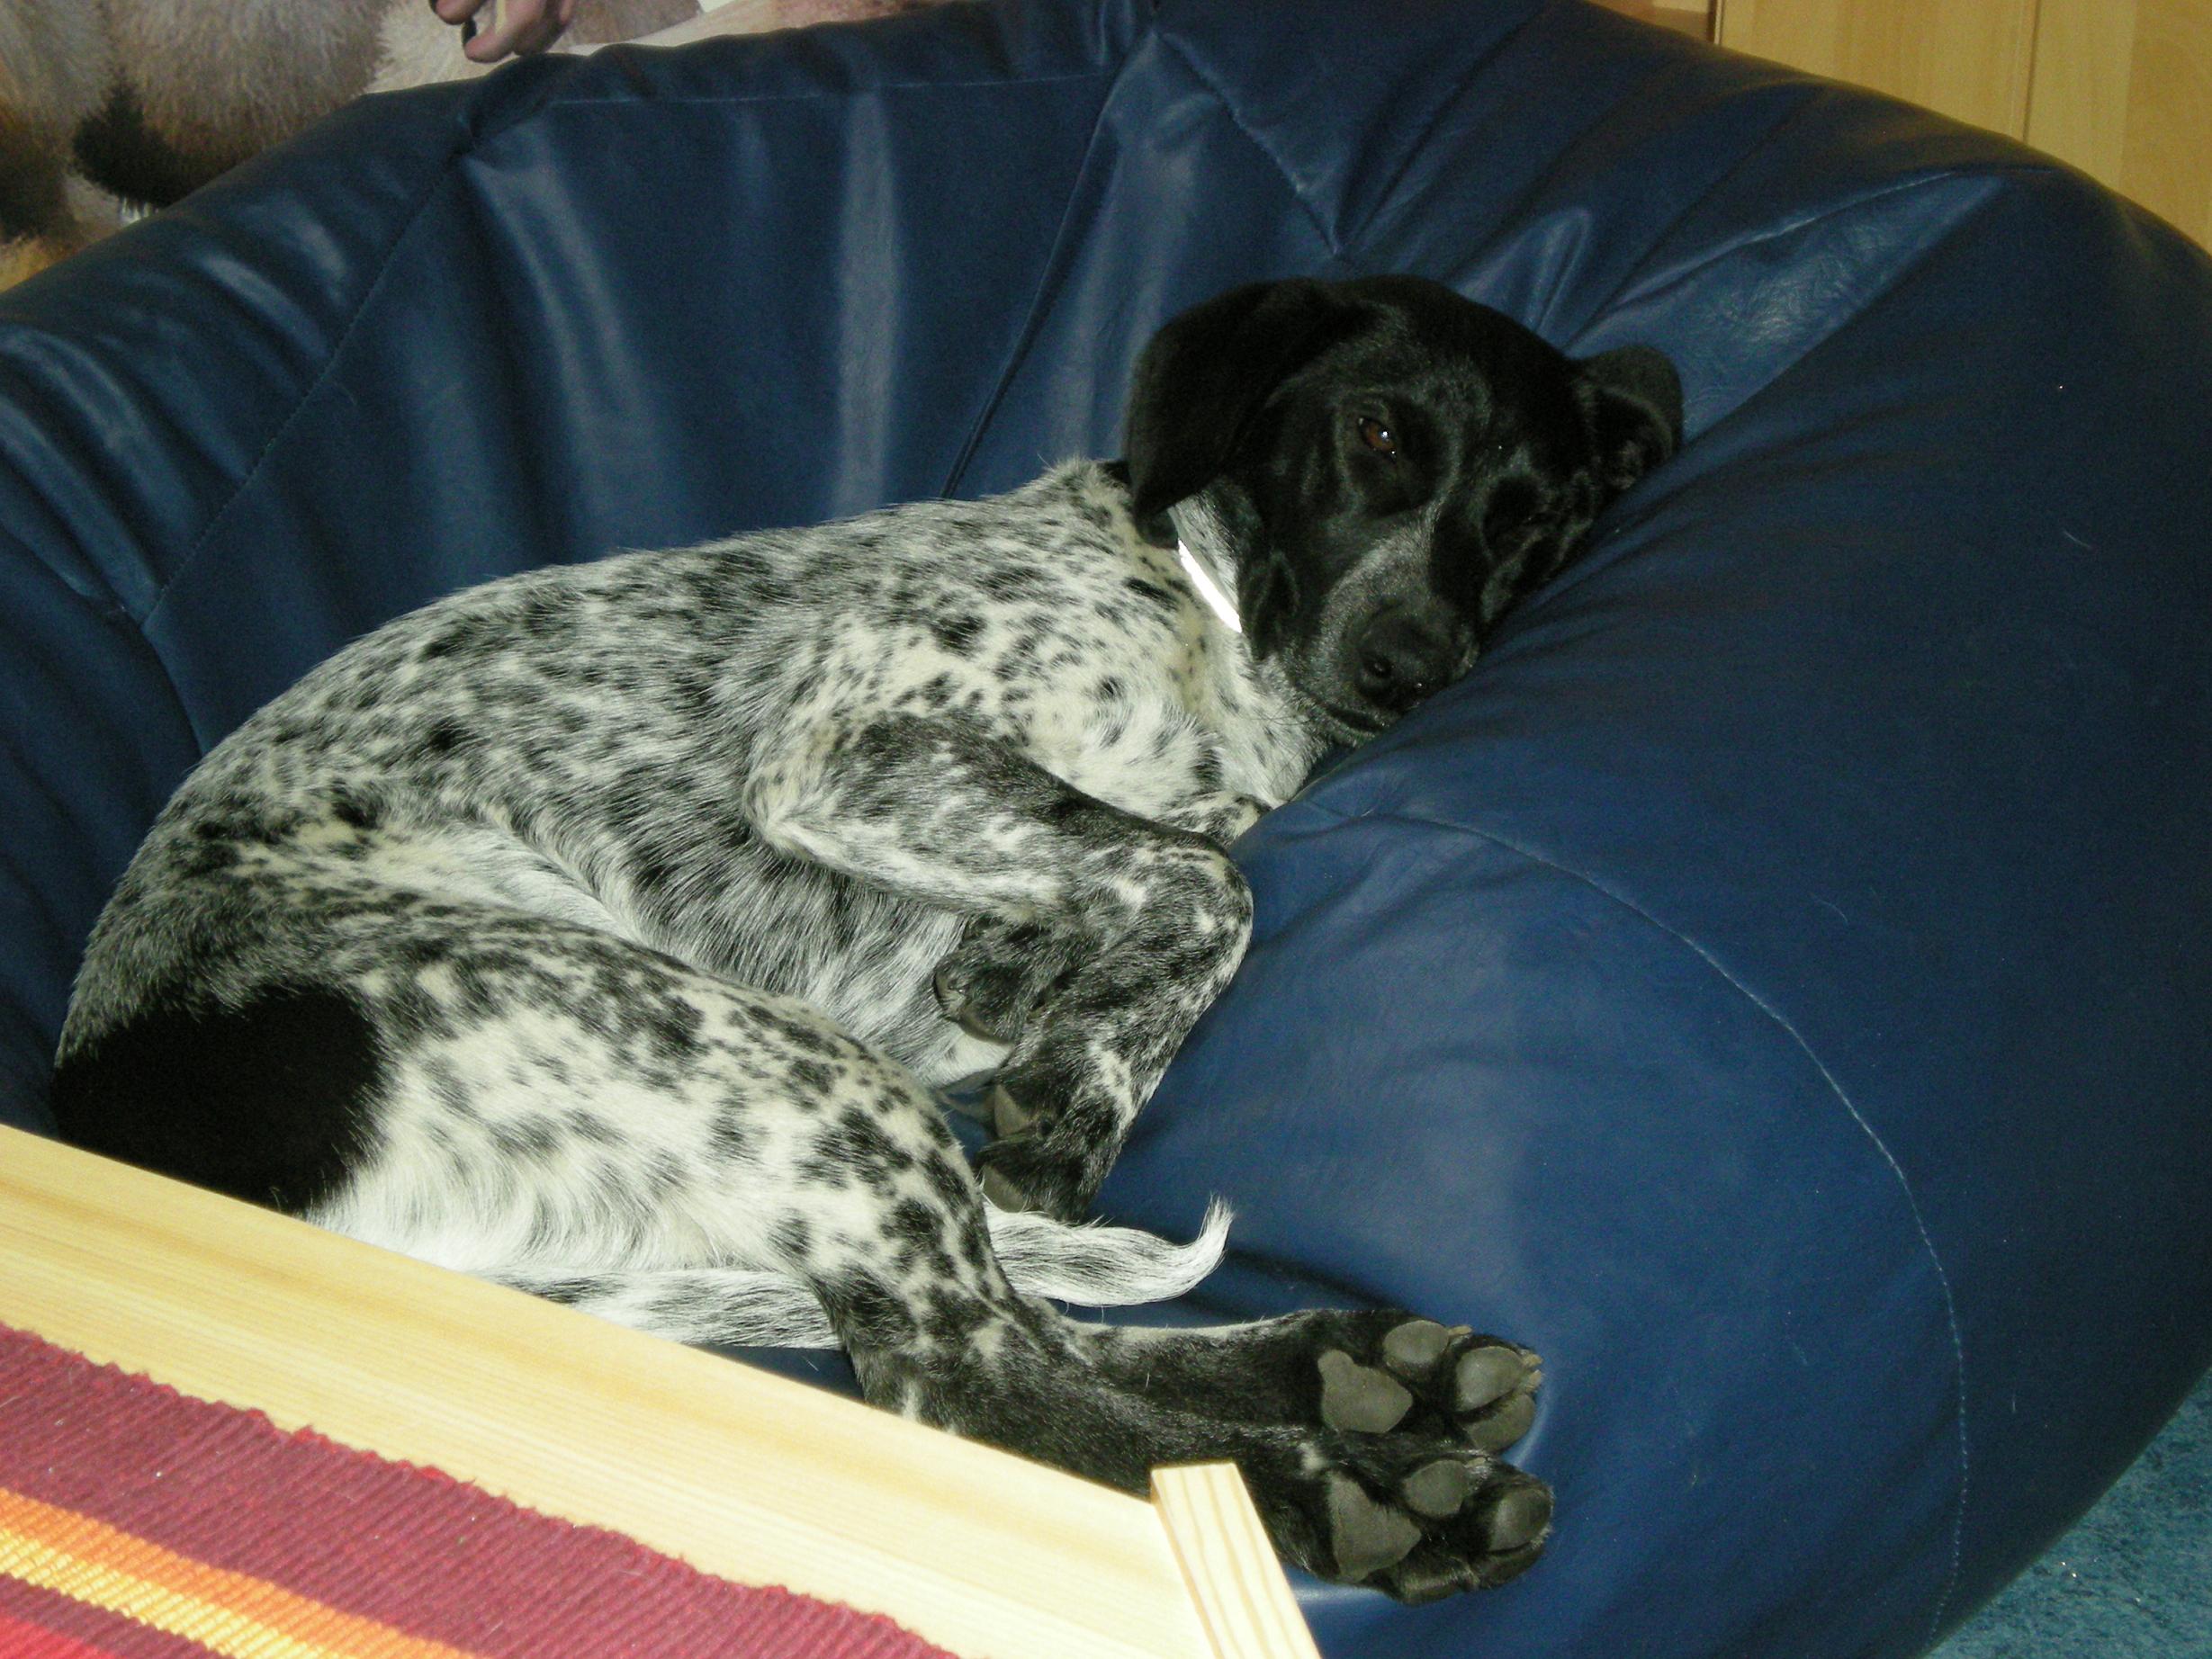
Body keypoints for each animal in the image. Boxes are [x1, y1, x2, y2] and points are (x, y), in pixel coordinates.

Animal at [53, 275, 1681, 1600]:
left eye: (1533, 524)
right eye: (1379, 435)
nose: (1415, 666)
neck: (1210, 635)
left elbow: (1173, 858)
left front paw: (1038, 981)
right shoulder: (848, 754)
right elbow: (1207, 883)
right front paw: (1075, 1068)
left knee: (1006, 1330)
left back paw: (1352, 1372)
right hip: (745, 1051)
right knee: (973, 1382)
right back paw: (1352, 1490)